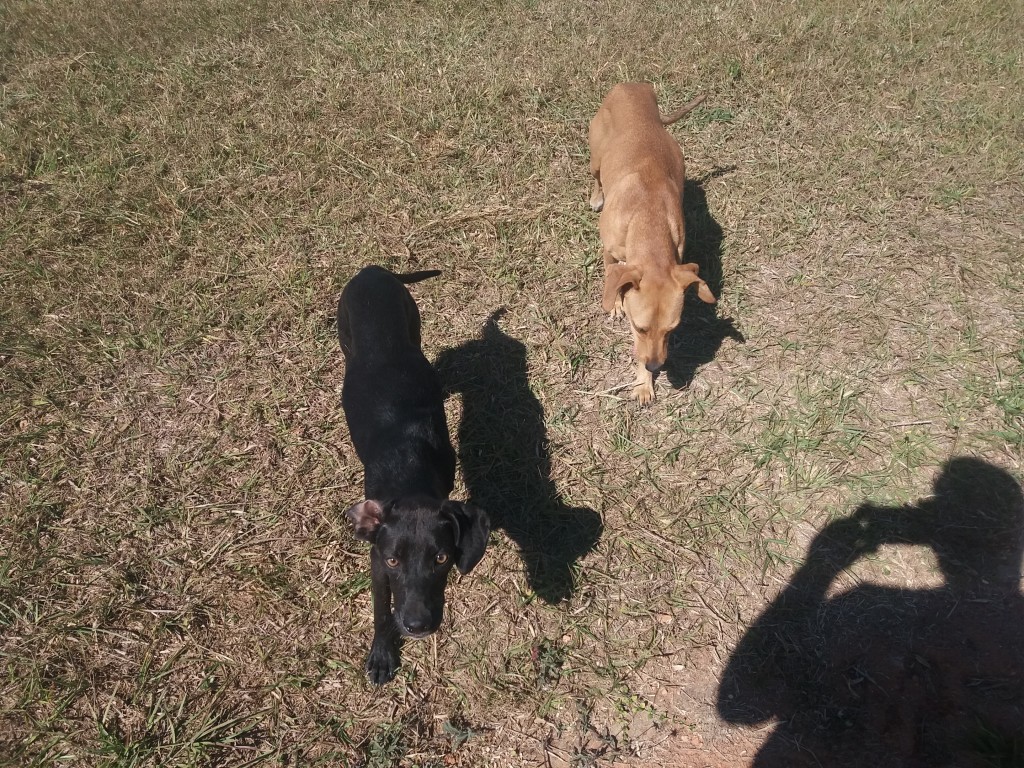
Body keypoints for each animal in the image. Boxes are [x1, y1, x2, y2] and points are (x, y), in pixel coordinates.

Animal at [337, 268, 489, 688]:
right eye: (393, 560)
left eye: (441, 558)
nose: (418, 626)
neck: (410, 472)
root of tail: (372, 270)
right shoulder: (375, 560)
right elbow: (380, 609)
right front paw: (382, 654)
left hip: (413, 322)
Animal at [589, 83, 716, 405]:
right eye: (639, 327)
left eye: (672, 329)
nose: (656, 367)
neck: (648, 217)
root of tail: (633, 86)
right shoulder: (611, 253)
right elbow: (613, 280)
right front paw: (615, 304)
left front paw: (644, 382)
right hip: (595, 157)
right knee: (596, 176)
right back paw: (596, 196)